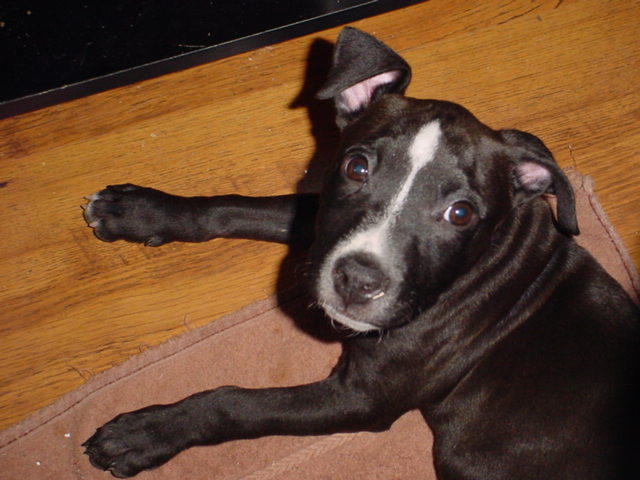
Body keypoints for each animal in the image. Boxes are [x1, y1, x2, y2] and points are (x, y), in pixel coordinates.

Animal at [83, 27, 639, 479]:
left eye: (461, 214)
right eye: (356, 167)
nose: (357, 281)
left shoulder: (360, 400)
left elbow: (236, 404)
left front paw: (148, 432)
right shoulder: (321, 220)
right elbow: (240, 207)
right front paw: (142, 211)